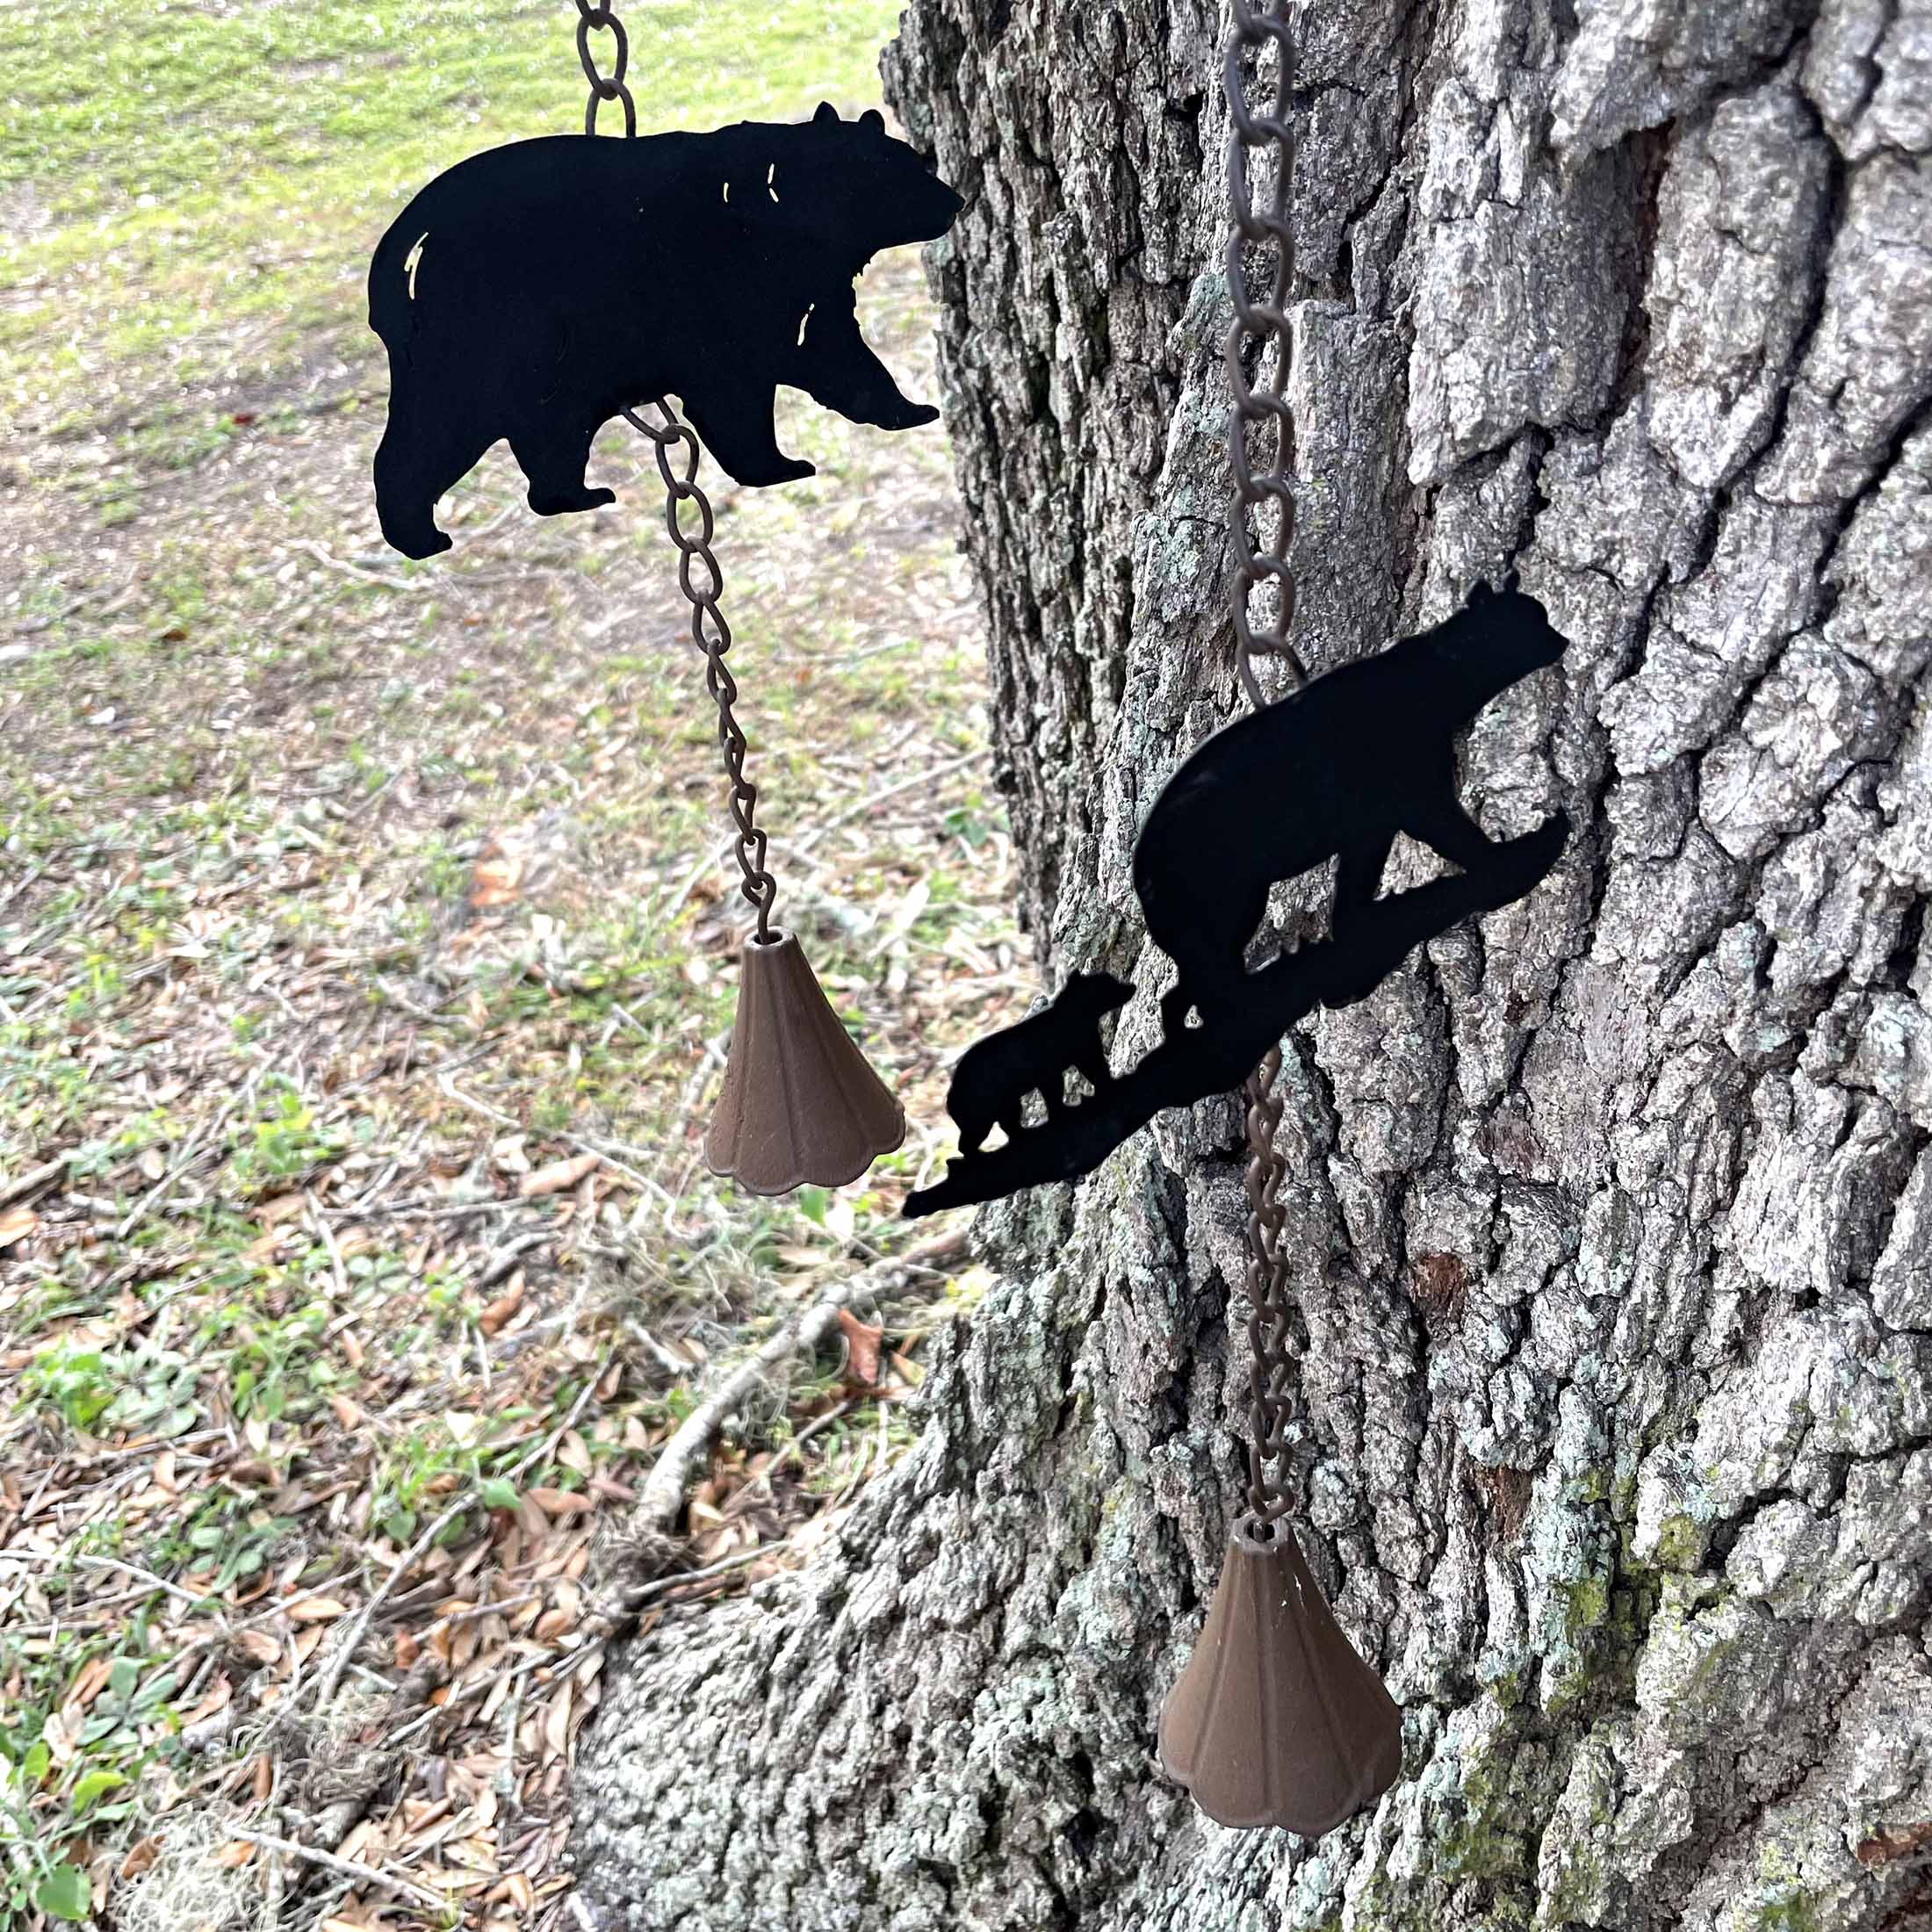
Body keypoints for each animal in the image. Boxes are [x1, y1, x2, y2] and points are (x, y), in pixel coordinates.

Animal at [367, 103, 962, 558]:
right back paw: (420, 535)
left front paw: (910, 409)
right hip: (491, 334)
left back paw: (572, 497)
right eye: (896, 172)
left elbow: (840, 356)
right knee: (437, 432)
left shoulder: (807, 296)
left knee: (549, 432)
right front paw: (777, 466)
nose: (956, 200)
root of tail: (402, 245)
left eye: (917, 160)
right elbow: (734, 396)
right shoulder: (725, 299)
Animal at [947, 972, 1134, 1153]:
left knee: (1006, 1126)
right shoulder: (1081, 1056)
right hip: (980, 1118)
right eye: (1109, 983)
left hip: (1006, 1106)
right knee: (966, 1145)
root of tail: (951, 1096)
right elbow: (1094, 1073)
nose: (1132, 986)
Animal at [1132, 579, 1569, 1039]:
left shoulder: (1372, 829)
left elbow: (1352, 897)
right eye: (1535, 620)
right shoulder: (1419, 800)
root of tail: (1141, 875)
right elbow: (1461, 841)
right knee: (1209, 991)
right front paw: (1504, 859)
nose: (1562, 638)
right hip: (1230, 910)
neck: (1434, 678)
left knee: (1179, 997)